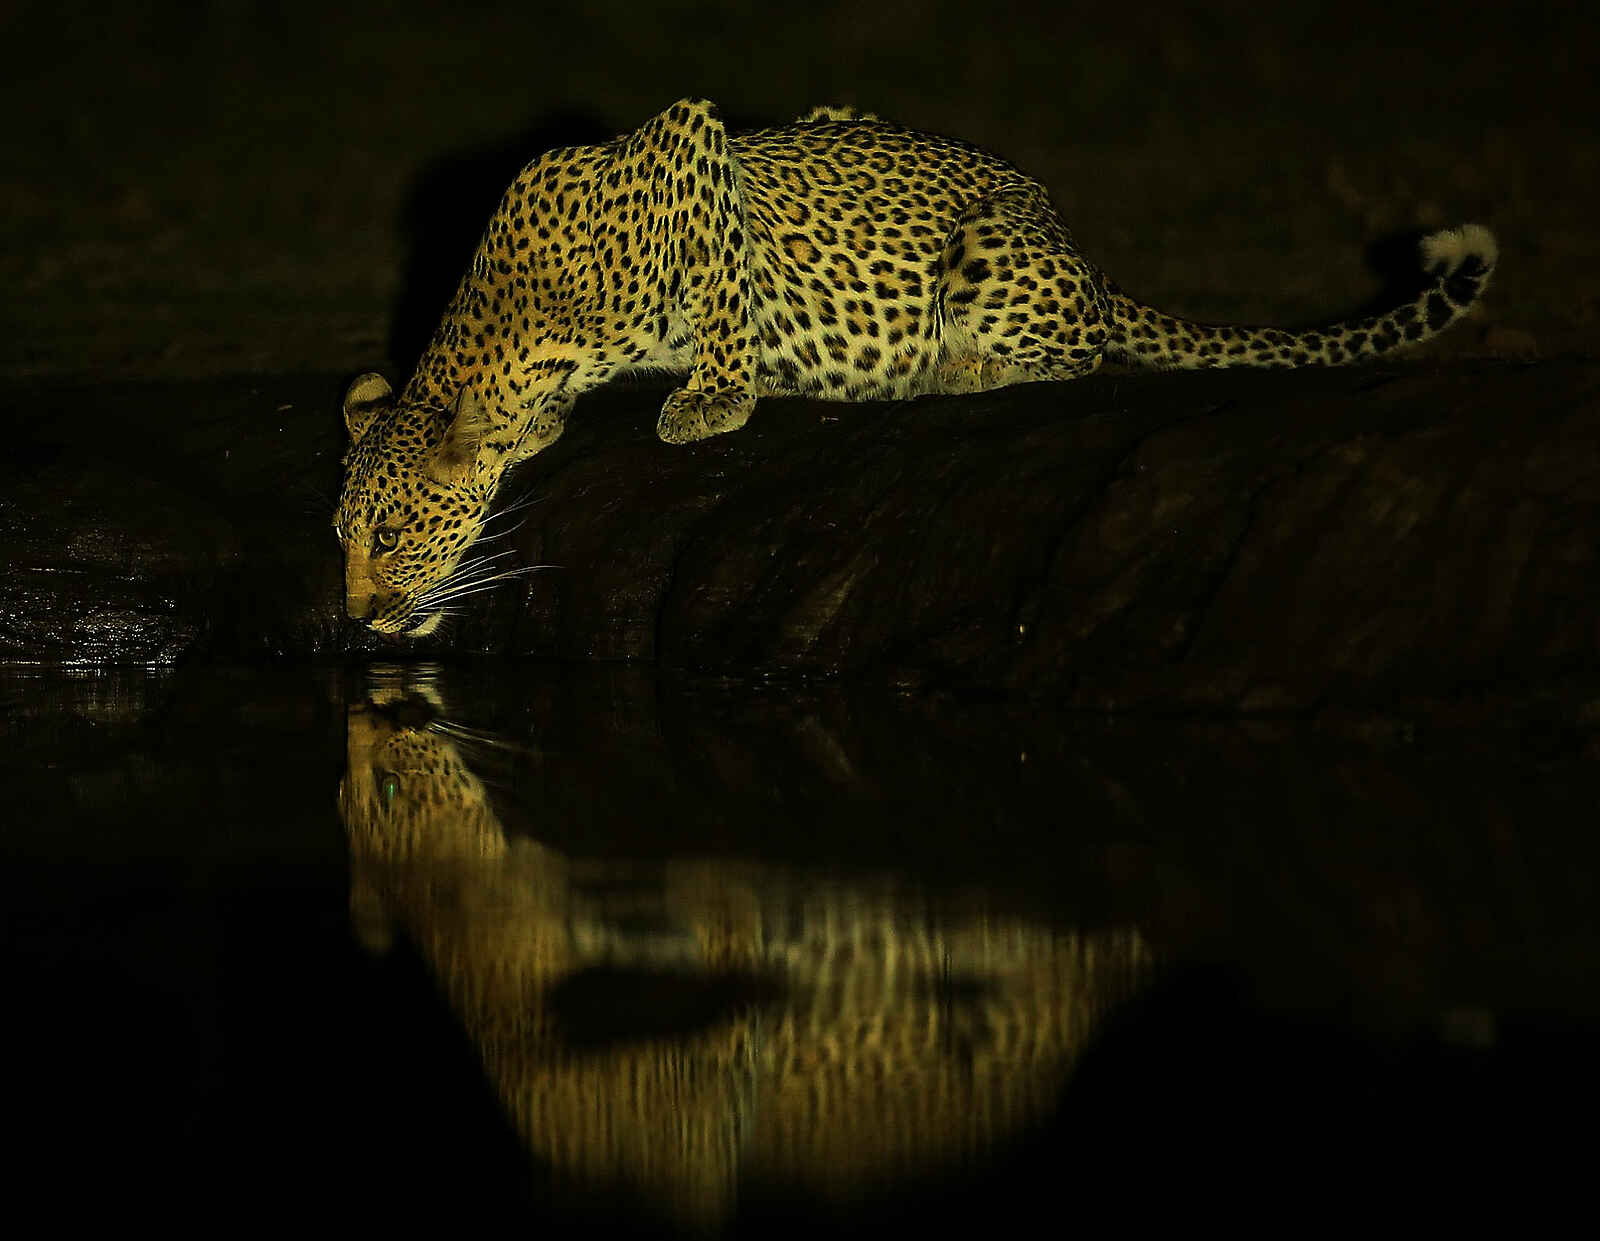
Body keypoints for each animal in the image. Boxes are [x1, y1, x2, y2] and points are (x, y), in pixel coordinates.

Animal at [335, 98, 1498, 637]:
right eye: (344, 539)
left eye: (388, 536)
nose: (353, 619)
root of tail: (1084, 253)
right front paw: (544, 427)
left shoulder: (696, 151)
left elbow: (728, 292)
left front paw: (714, 397)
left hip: (990, 250)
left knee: (1076, 356)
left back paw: (950, 369)